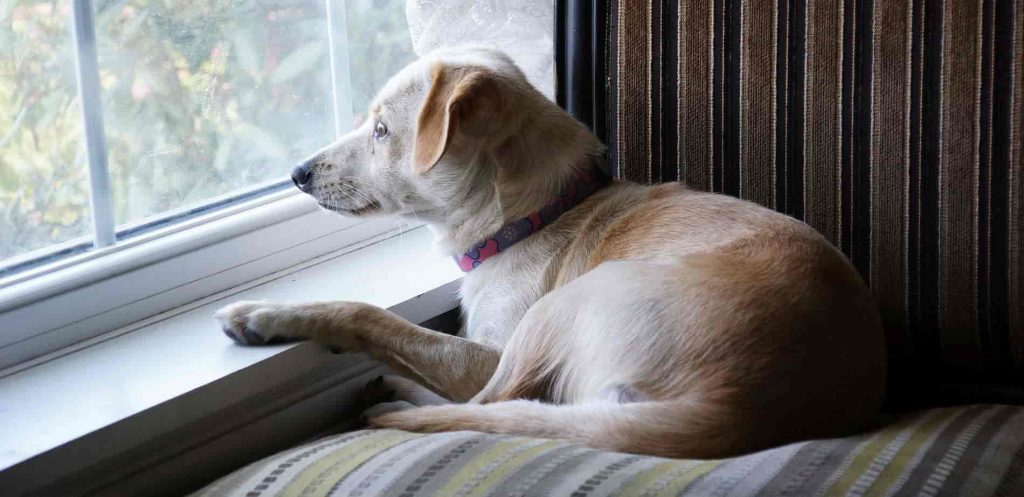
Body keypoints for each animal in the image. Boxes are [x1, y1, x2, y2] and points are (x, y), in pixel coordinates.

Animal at [218, 46, 888, 457]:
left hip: (560, 310)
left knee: (493, 404)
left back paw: (389, 397)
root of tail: (737, 408)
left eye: (382, 131)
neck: (536, 213)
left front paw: (266, 315)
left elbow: (371, 316)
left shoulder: (485, 354)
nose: (298, 173)